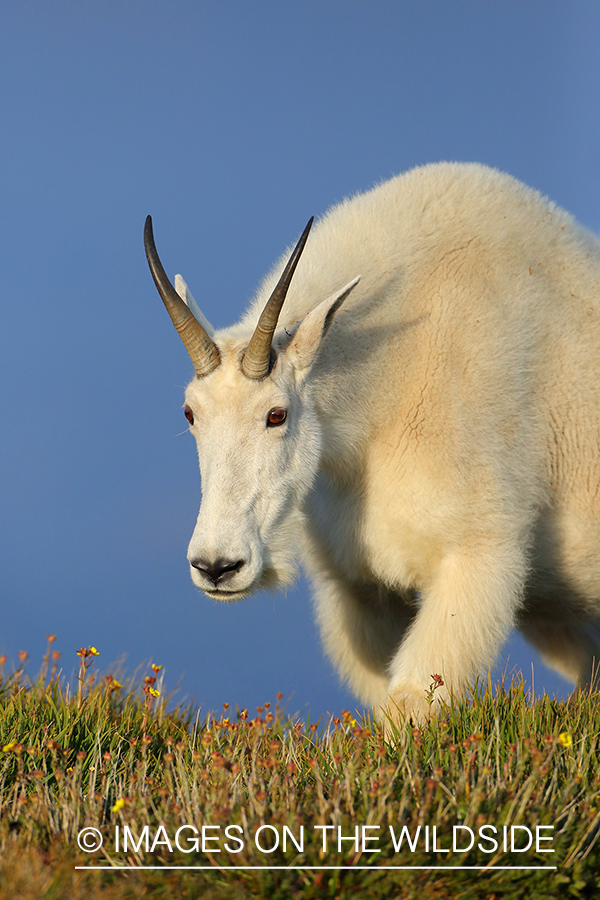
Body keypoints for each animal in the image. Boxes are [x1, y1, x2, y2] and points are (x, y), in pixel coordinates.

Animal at [144, 162, 600, 724]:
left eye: (277, 414)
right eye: (190, 413)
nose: (216, 566)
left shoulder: (479, 553)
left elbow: (410, 703)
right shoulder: (360, 590)